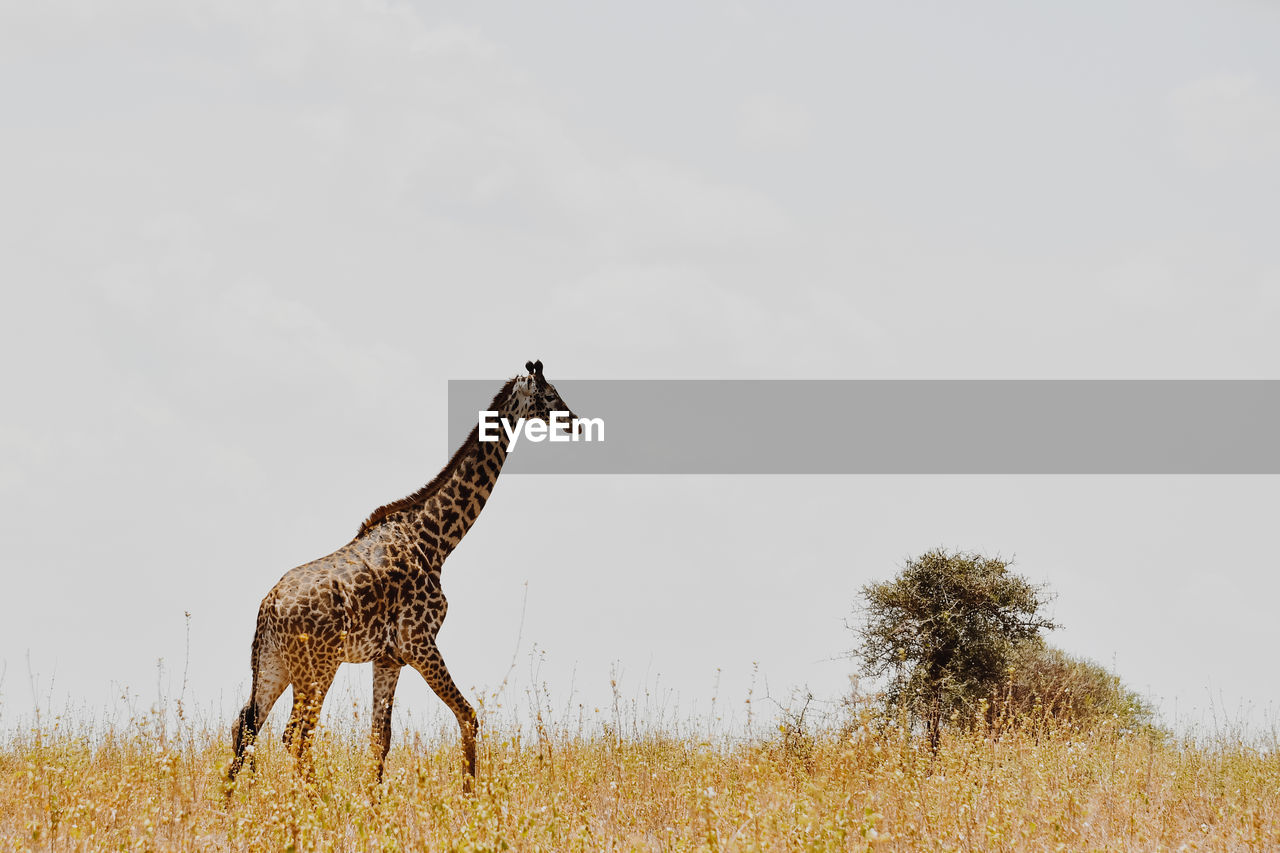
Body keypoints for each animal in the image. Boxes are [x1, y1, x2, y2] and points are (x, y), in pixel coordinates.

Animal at [227, 358, 578, 788]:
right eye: (551, 395)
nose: (576, 422)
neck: (437, 540)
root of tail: (268, 609)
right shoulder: (419, 642)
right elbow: (468, 716)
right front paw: (471, 796)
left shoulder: (388, 657)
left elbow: (381, 739)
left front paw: (374, 803)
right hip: (317, 667)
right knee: (295, 735)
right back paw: (315, 802)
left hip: (274, 663)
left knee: (245, 725)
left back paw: (231, 803)